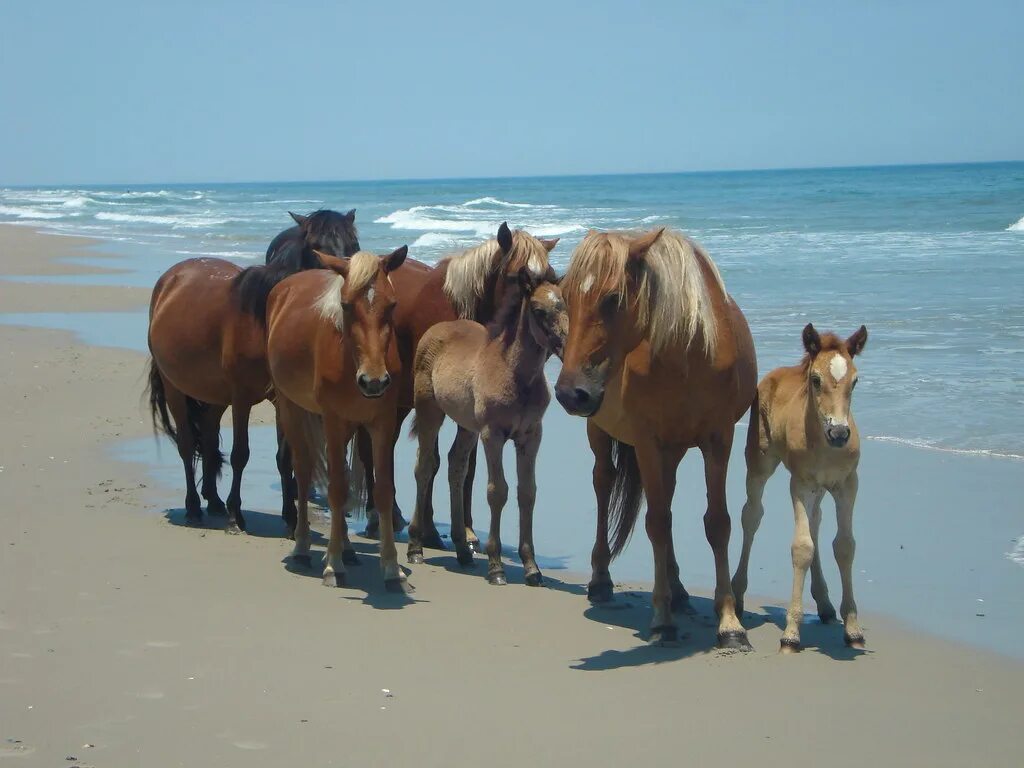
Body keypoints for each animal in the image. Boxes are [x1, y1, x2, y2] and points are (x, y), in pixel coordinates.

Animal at [148, 259, 274, 536]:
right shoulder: (241, 398)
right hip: (174, 388)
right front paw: (236, 517)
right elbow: (240, 454)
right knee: (186, 444)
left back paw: (214, 500)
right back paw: (194, 508)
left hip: (215, 395)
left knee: (207, 435)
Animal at [262, 249, 413, 593]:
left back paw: (347, 547)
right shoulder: (332, 419)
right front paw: (332, 565)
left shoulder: (382, 422)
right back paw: (304, 548)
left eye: (392, 305)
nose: (374, 381)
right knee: (305, 472)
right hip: (291, 408)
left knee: (338, 474)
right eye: (345, 305)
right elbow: (335, 490)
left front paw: (392, 569)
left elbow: (382, 490)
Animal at [407, 268, 569, 585]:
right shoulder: (492, 434)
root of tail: (435, 329)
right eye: (538, 310)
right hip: (430, 410)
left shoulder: (531, 435)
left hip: (466, 426)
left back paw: (462, 550)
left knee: (455, 467)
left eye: (564, 305)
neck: (516, 374)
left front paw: (532, 567)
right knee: (424, 465)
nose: (566, 345)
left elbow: (527, 492)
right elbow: (498, 491)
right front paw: (496, 567)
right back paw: (416, 546)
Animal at [552, 228, 761, 651]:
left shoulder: (719, 440)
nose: (570, 393)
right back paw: (601, 580)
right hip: (601, 432)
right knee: (605, 484)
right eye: (565, 298)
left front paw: (730, 623)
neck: (688, 355)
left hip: (674, 450)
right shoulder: (648, 442)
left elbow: (717, 522)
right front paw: (662, 620)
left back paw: (679, 590)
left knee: (665, 497)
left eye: (612, 298)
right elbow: (657, 524)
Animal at [733, 321, 868, 651]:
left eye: (855, 381)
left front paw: (853, 630)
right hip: (760, 463)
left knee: (816, 522)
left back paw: (825, 605)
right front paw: (791, 634)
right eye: (816, 380)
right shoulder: (801, 484)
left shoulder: (848, 484)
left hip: (820, 489)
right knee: (751, 516)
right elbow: (802, 547)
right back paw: (738, 596)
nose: (839, 433)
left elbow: (844, 545)